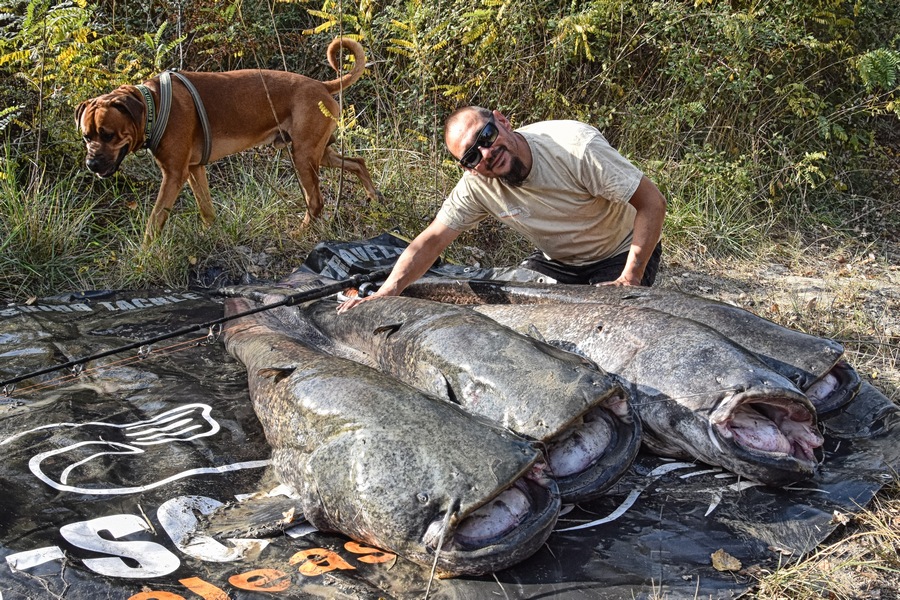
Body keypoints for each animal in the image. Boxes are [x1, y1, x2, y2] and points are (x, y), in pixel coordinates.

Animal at [76, 38, 380, 244]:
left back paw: (300, 232)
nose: (91, 164)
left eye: (108, 134)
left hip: (303, 156)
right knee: (358, 162)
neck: (153, 106)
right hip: (317, 153)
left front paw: (145, 254)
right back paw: (374, 199)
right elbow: (206, 209)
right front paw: (211, 234)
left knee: (315, 201)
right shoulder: (194, 170)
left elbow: (155, 220)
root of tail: (321, 85)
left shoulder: (173, 175)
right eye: (86, 136)